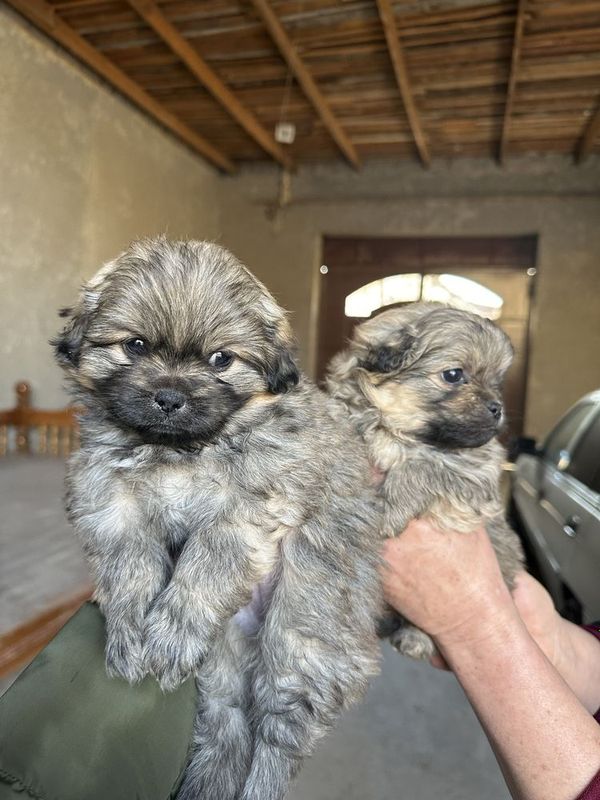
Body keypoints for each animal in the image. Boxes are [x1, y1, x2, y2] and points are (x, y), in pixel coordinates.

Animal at [51, 239, 380, 800]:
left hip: (300, 637)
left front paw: (173, 627)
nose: (169, 397)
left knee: (277, 737)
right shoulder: (107, 494)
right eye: (135, 346)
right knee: (227, 727)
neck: (180, 450)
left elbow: (207, 565)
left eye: (220, 359)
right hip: (221, 664)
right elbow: (128, 563)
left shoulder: (251, 505)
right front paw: (132, 626)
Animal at [326, 304, 524, 660]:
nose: (497, 408)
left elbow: (425, 468)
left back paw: (415, 637)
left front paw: (391, 509)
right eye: (454, 375)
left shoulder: (474, 475)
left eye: (497, 382)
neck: (400, 433)